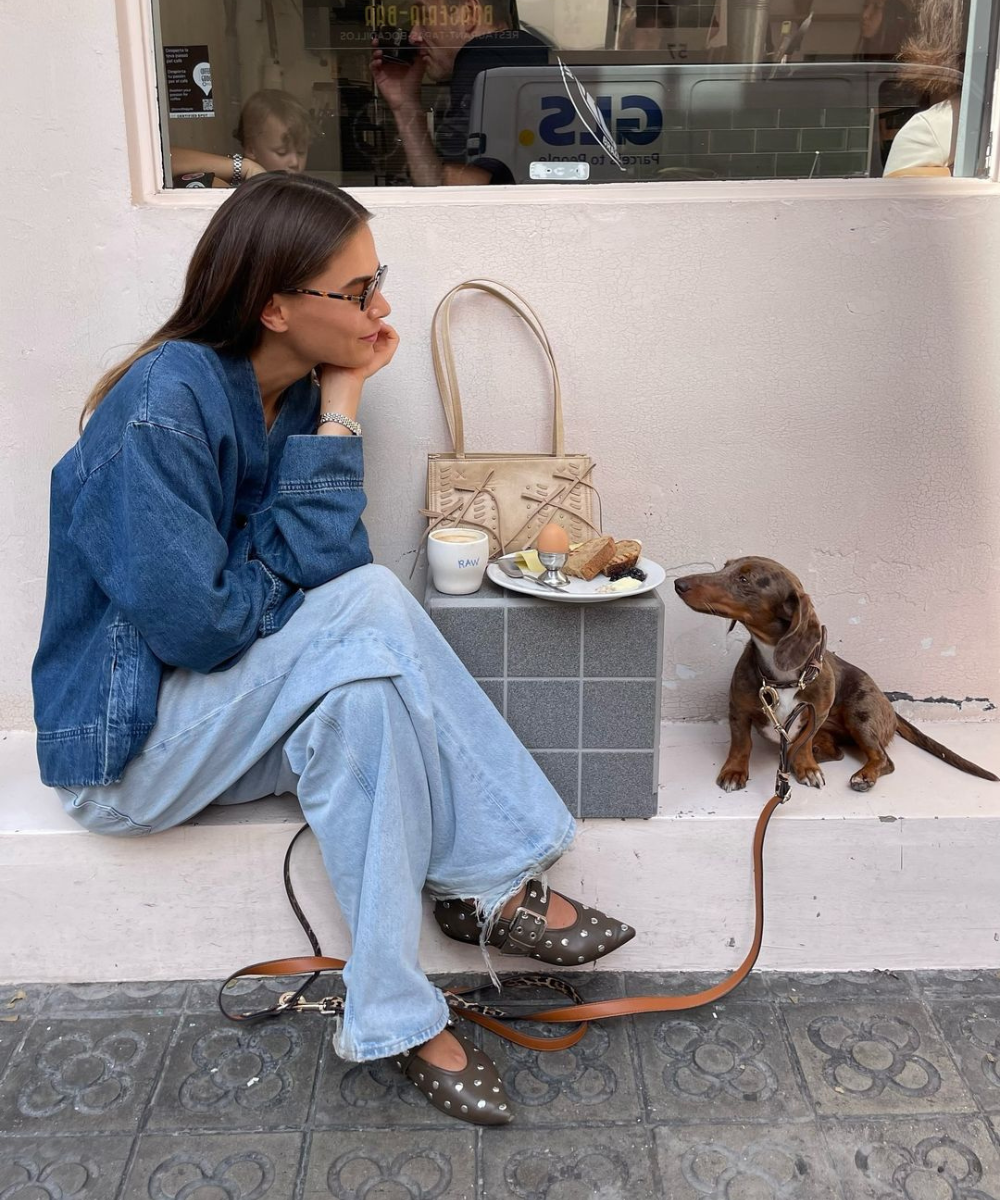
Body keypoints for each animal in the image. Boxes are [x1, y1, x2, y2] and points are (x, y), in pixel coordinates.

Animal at [677, 556, 993, 792]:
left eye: (744, 580)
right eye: (724, 566)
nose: (679, 583)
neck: (784, 676)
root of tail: (889, 706)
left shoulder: (817, 712)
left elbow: (802, 742)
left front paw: (806, 767)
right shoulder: (739, 710)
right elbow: (741, 744)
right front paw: (734, 772)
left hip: (860, 714)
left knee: (883, 758)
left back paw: (863, 775)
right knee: (838, 752)